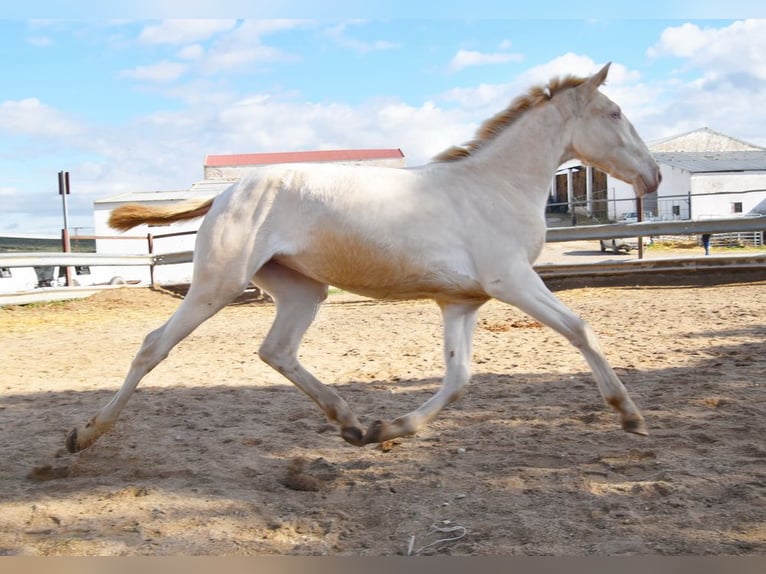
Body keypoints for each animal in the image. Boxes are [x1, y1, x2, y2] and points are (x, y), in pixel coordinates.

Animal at [67, 59, 660, 454]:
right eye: (614, 113)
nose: (652, 176)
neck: (496, 186)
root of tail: (229, 191)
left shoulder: (462, 302)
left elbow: (459, 376)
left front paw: (389, 429)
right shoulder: (511, 280)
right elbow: (580, 329)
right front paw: (631, 416)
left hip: (302, 290)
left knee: (276, 350)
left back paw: (350, 422)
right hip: (218, 284)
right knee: (153, 346)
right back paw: (83, 434)